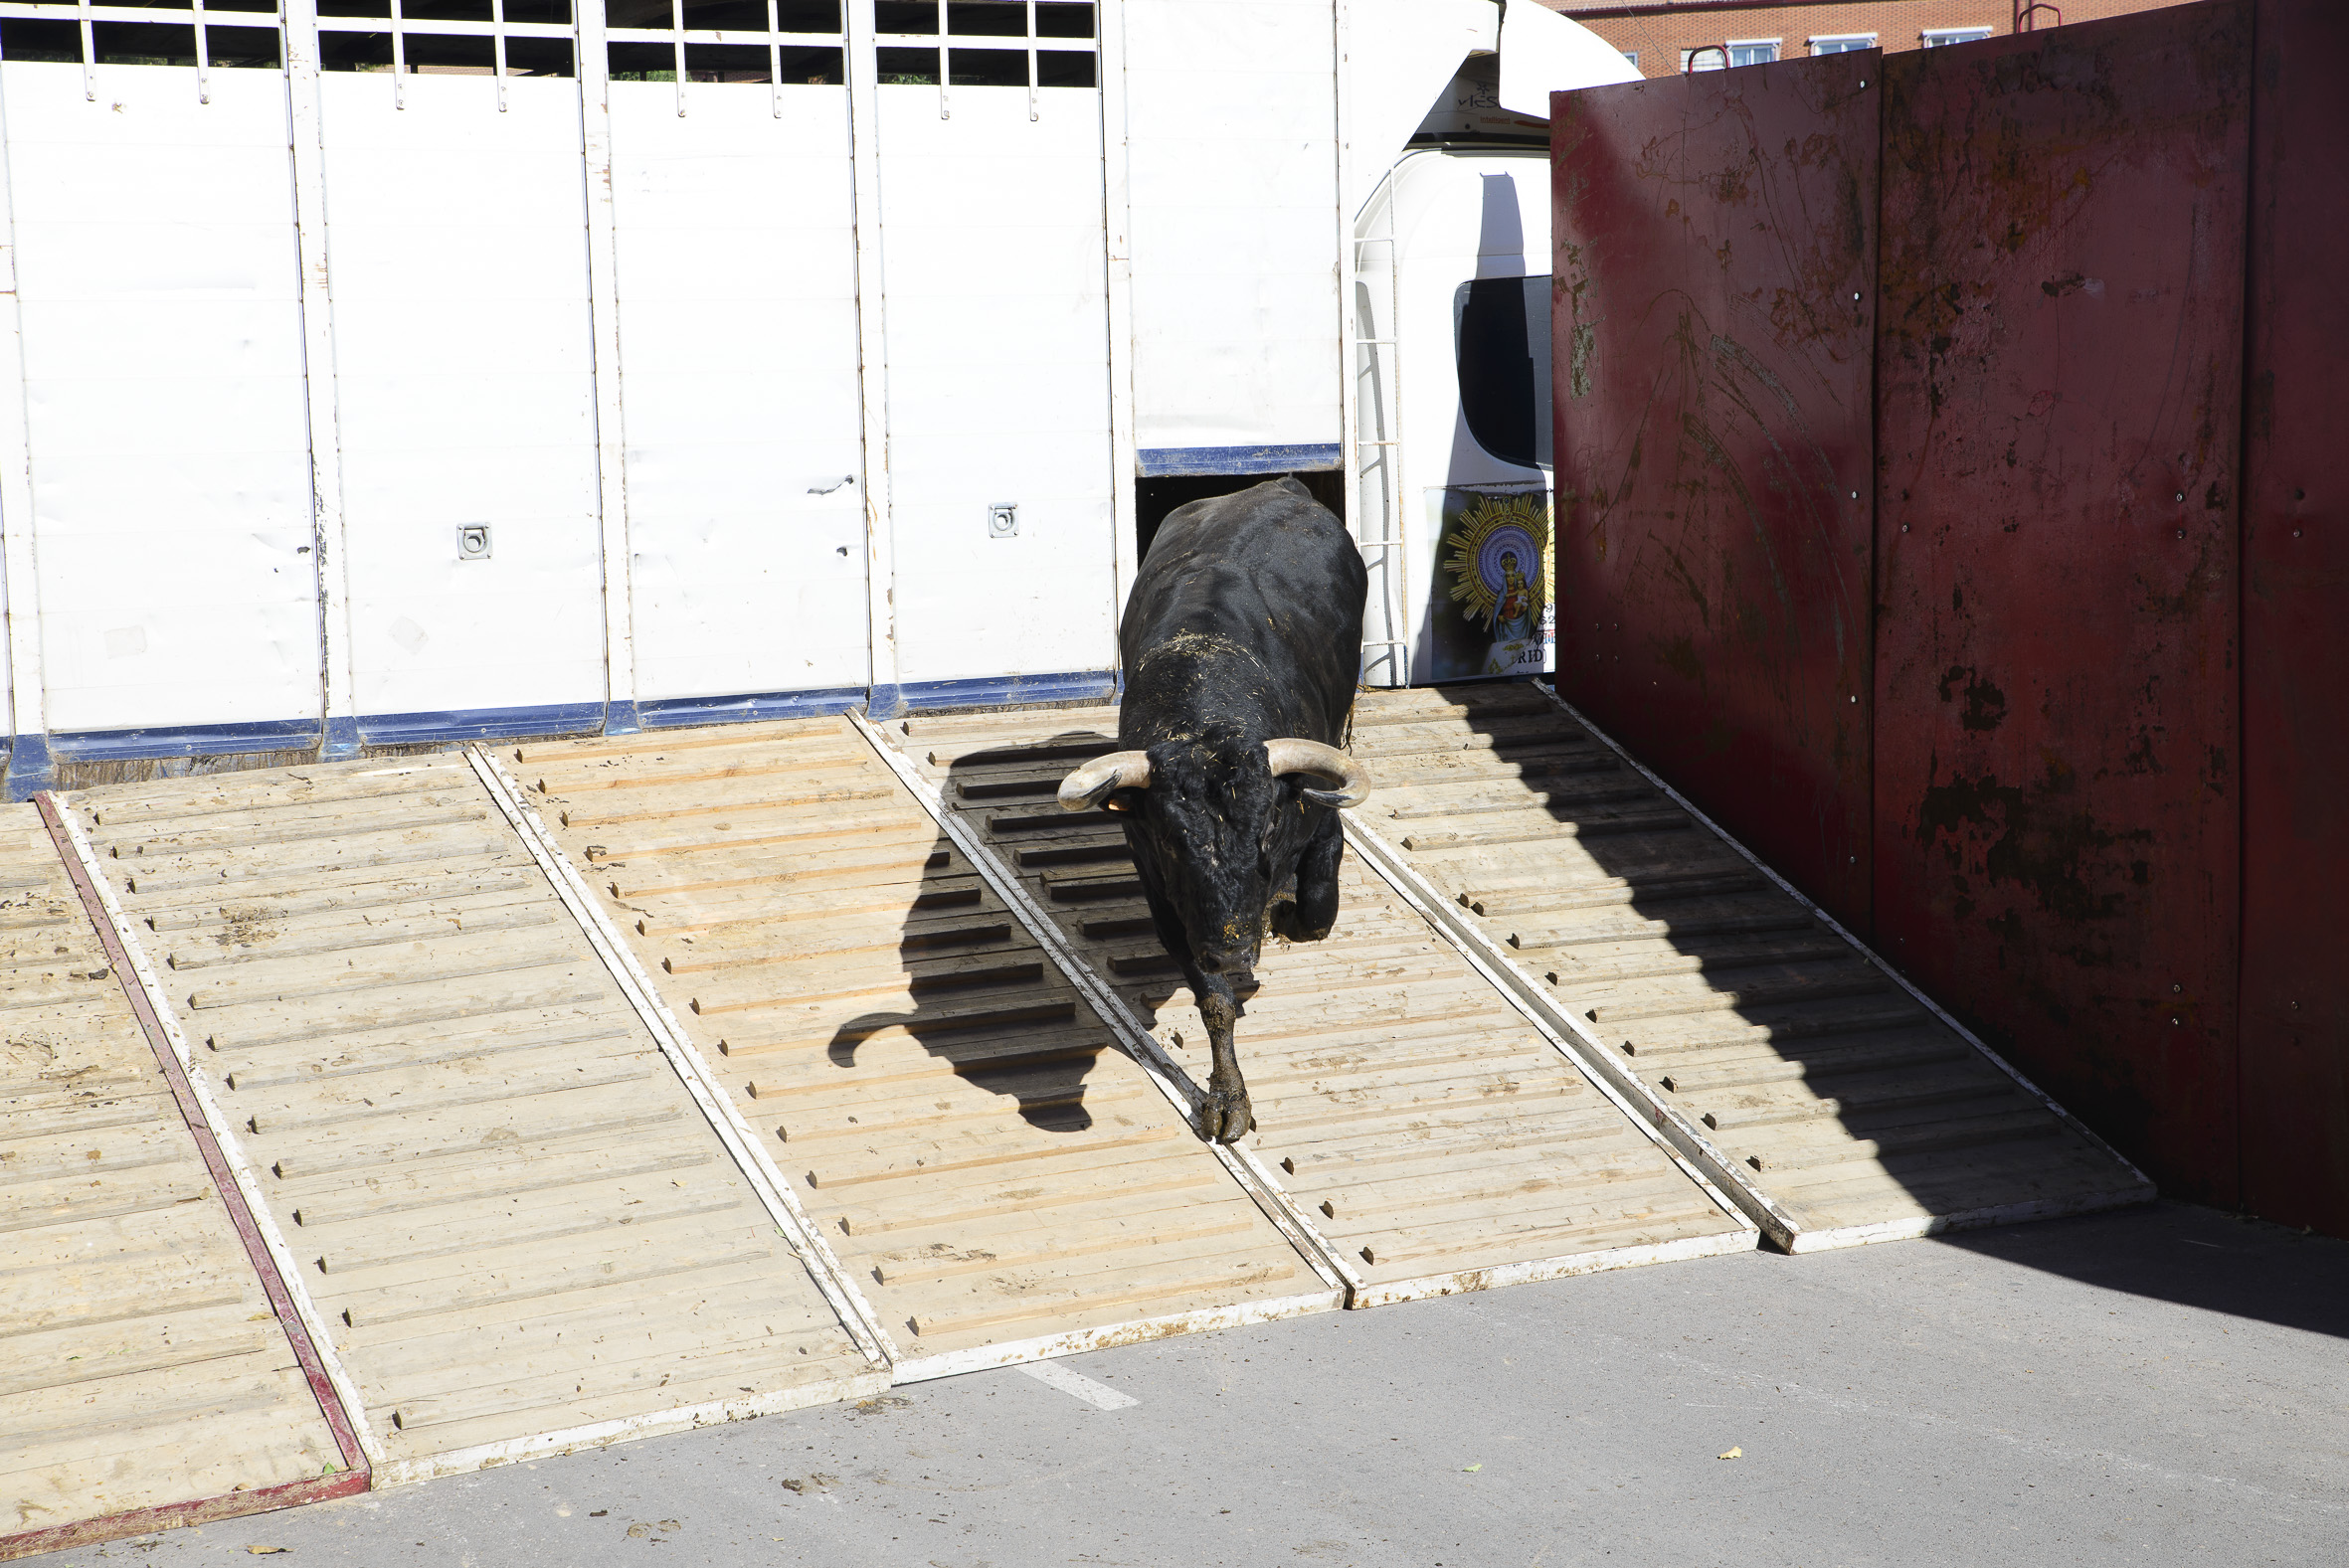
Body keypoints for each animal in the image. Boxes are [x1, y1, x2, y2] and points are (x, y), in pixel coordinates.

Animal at [1056, 473, 1371, 1140]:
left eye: (1267, 829)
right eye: (1170, 839)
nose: (1230, 949)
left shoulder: (1319, 822)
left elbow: (1316, 907)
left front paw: (1282, 914)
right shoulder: (1170, 903)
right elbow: (1214, 1001)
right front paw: (1228, 1098)